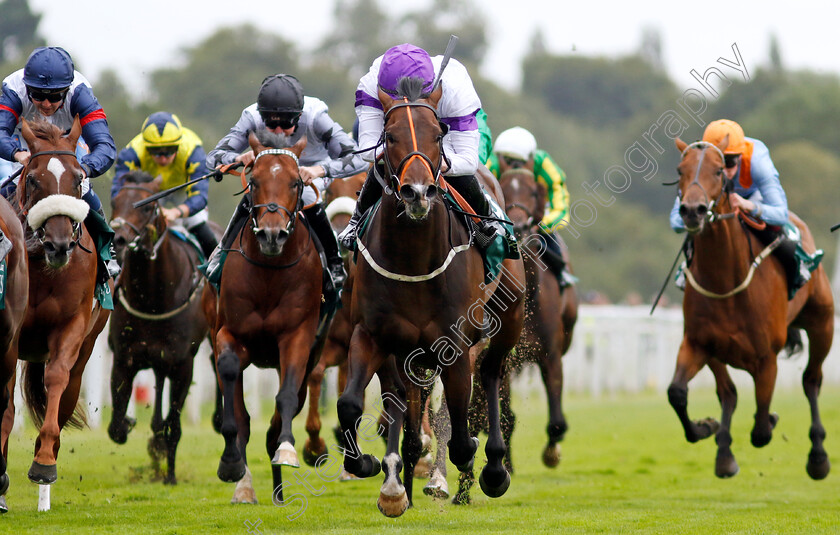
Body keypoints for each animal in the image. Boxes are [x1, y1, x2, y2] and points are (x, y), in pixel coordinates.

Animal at [13, 119, 110, 496]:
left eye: (79, 178)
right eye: (33, 178)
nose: (59, 245)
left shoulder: (71, 325)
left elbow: (56, 376)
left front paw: (43, 463)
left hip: (88, 346)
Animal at [107, 172, 210, 486]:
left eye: (147, 207)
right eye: (115, 201)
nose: (118, 238)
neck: (154, 297)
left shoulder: (183, 365)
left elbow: (174, 426)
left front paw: (171, 476)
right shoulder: (124, 359)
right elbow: (116, 426)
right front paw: (131, 423)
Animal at [203, 136, 324, 504]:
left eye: (296, 182)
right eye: (253, 181)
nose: (272, 235)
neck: (270, 273)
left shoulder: (298, 336)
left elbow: (285, 398)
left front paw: (286, 449)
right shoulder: (228, 334)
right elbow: (236, 407)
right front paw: (231, 464)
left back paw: (279, 485)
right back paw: (246, 485)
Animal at [336, 77, 524, 516]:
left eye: (438, 135)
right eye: (390, 136)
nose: (418, 193)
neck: (415, 257)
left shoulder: (454, 343)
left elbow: (458, 434)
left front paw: (459, 470)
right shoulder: (370, 335)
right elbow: (352, 404)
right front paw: (370, 467)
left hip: (509, 317)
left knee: (490, 372)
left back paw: (492, 468)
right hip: (407, 352)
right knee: (404, 399)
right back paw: (399, 480)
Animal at [668, 136, 832, 480]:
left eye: (719, 170)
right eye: (679, 169)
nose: (692, 211)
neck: (725, 281)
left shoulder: (767, 358)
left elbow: (761, 429)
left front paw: (770, 419)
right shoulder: (697, 343)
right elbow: (677, 393)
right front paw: (705, 427)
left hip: (822, 324)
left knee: (811, 380)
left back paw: (818, 457)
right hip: (716, 352)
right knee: (728, 392)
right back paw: (724, 454)